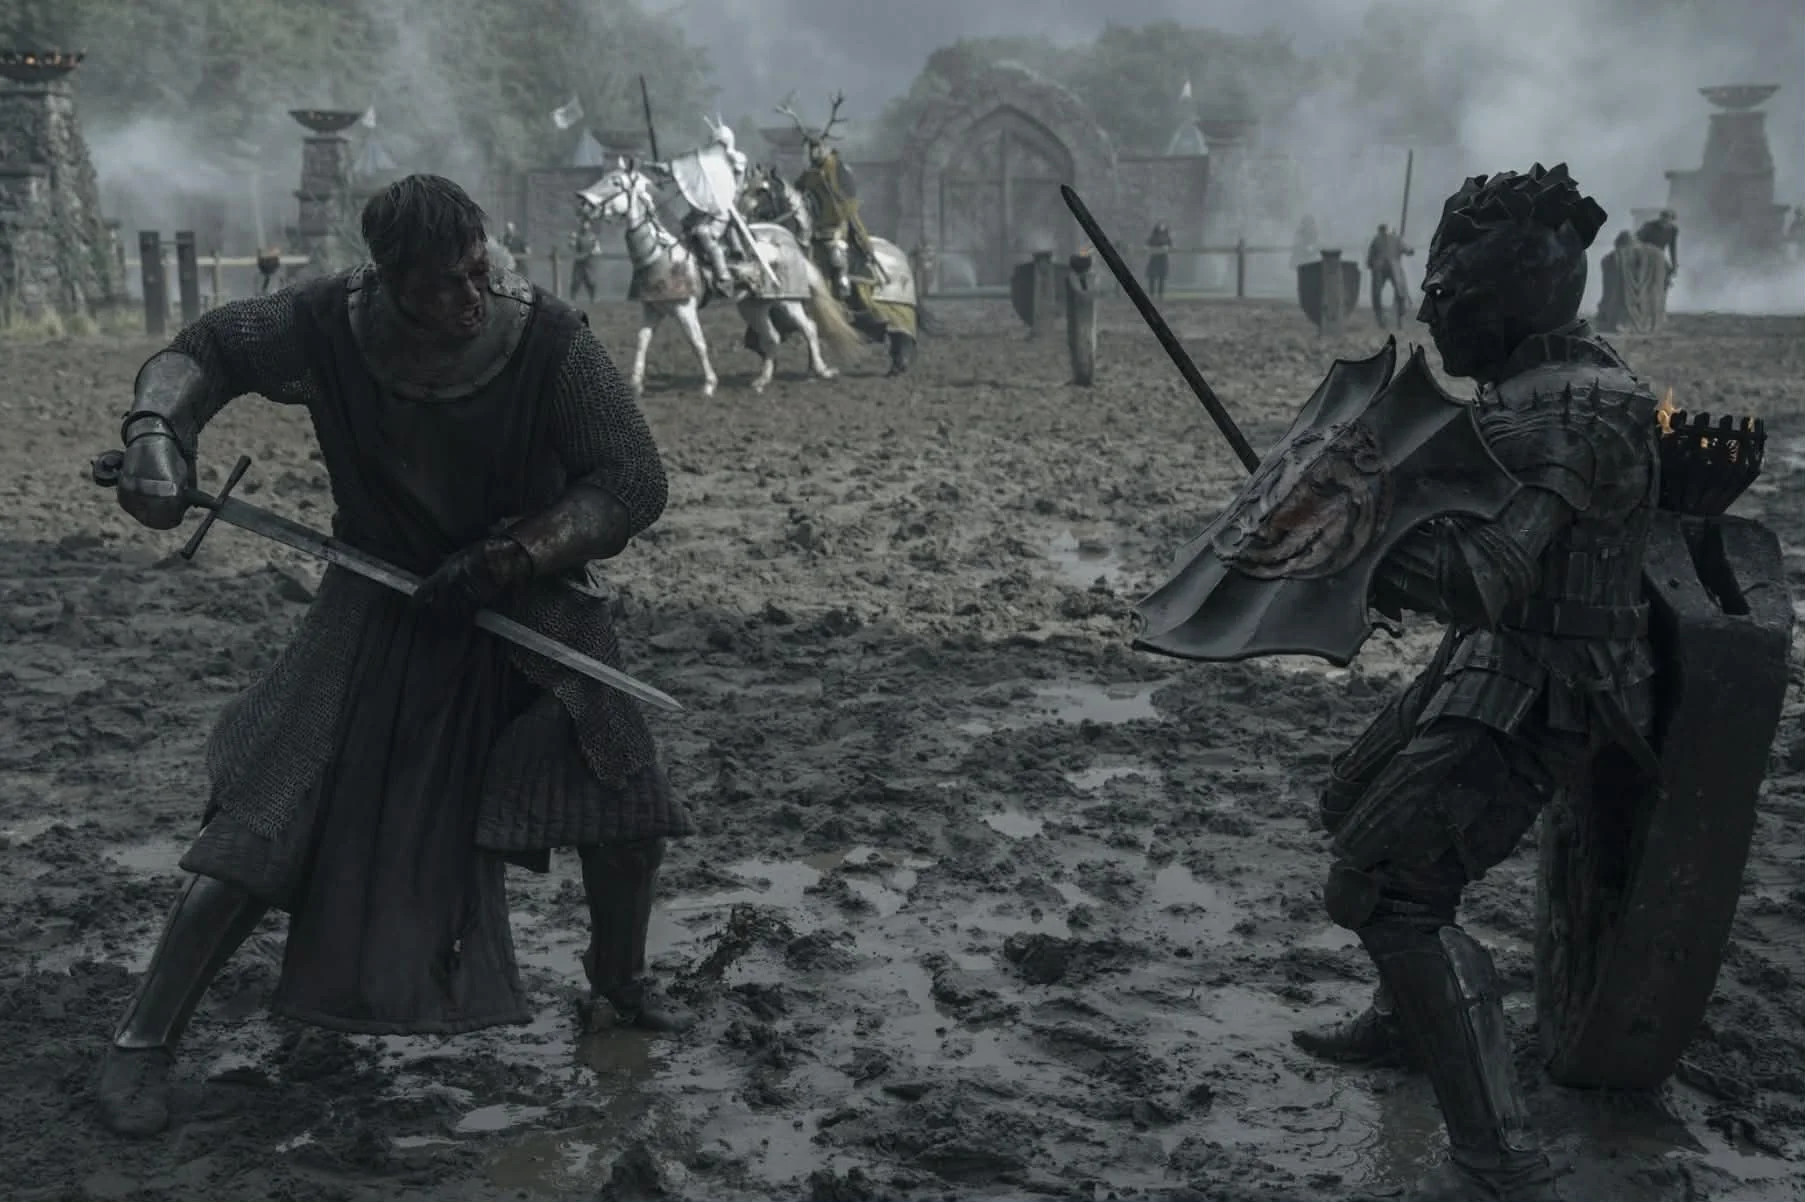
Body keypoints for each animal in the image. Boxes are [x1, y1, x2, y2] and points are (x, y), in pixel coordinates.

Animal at [578, 160, 860, 396]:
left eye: (616, 182)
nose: (583, 201)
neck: (660, 253)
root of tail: (789, 240)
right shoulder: (653, 309)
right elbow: (641, 342)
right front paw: (636, 383)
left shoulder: (684, 309)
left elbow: (697, 343)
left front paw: (709, 384)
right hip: (753, 306)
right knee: (771, 337)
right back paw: (762, 381)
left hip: (787, 300)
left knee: (809, 328)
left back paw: (820, 370)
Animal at [739, 164, 924, 376]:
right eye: (745, 188)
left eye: (762, 190)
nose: (742, 216)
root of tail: (901, 254)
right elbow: (760, 338)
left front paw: (814, 368)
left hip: (895, 307)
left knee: (901, 334)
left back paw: (899, 365)